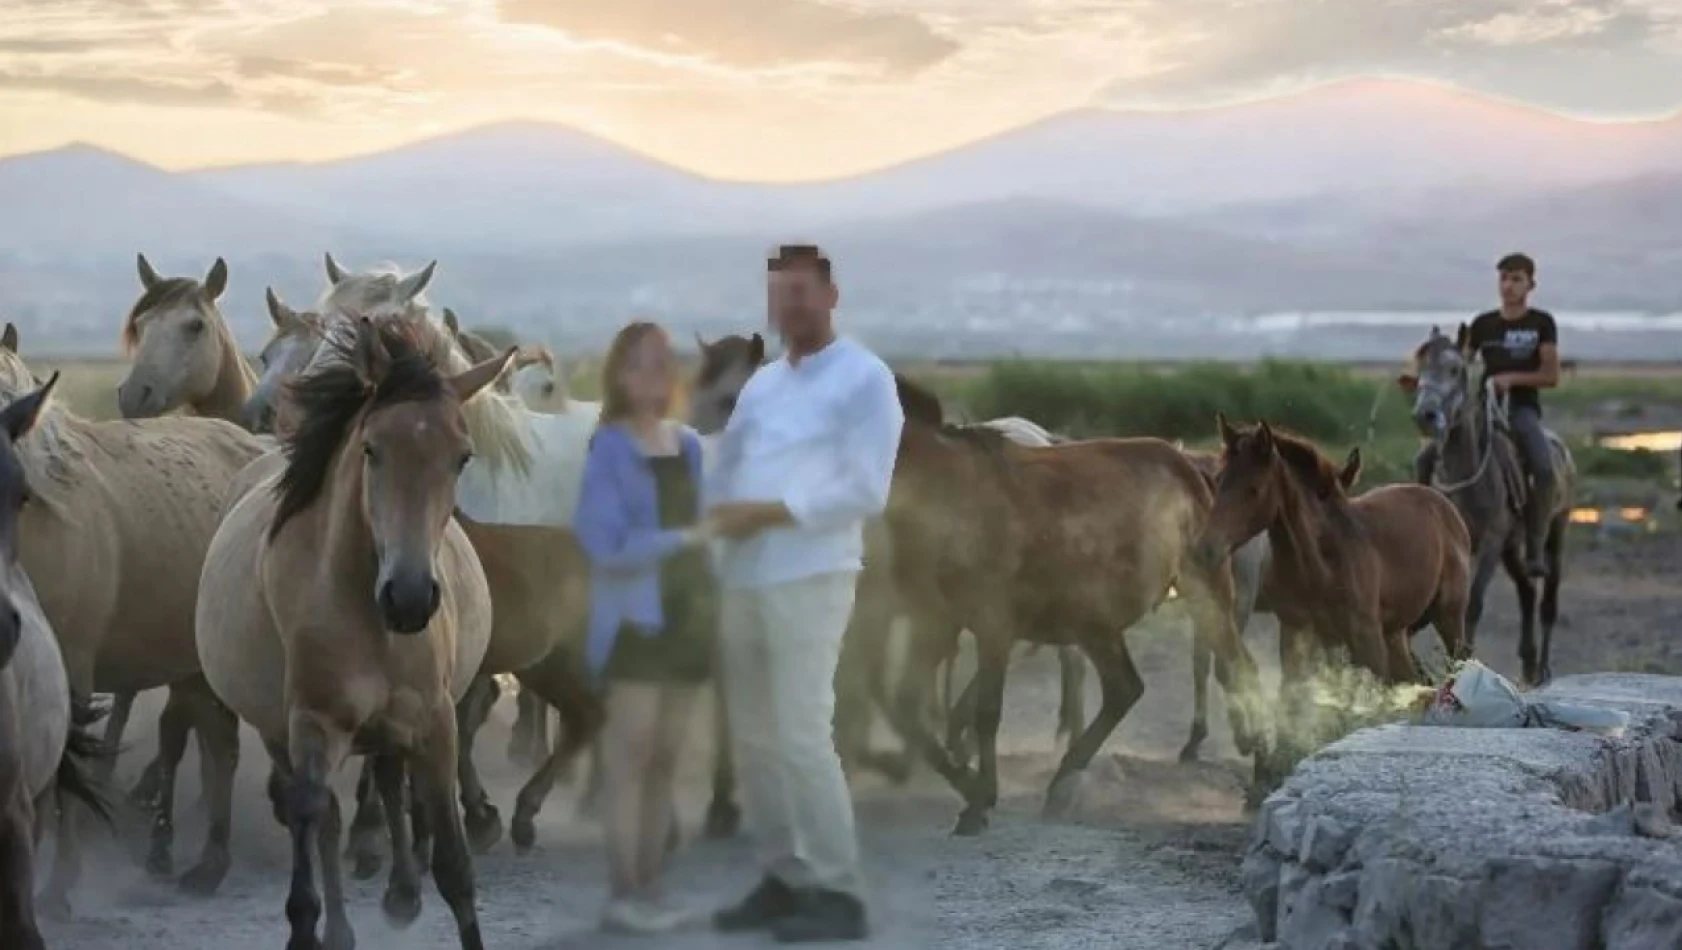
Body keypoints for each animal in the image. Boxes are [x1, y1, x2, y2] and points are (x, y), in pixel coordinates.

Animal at [881, 374, 1264, 833]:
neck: (946, 491)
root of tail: (1191, 468)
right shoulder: (938, 621)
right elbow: (906, 708)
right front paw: (969, 787)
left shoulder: (993, 624)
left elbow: (987, 712)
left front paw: (980, 799)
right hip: (1096, 623)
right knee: (1125, 688)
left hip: (1205, 598)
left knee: (1235, 669)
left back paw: (1263, 776)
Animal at [1399, 326, 1567, 682]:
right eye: (1419, 371)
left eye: (1455, 369)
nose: (1425, 416)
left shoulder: (1490, 541)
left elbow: (1473, 603)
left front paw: (1463, 660)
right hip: (1511, 548)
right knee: (1527, 592)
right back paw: (1528, 662)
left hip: (1555, 534)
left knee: (1548, 601)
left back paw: (1543, 668)